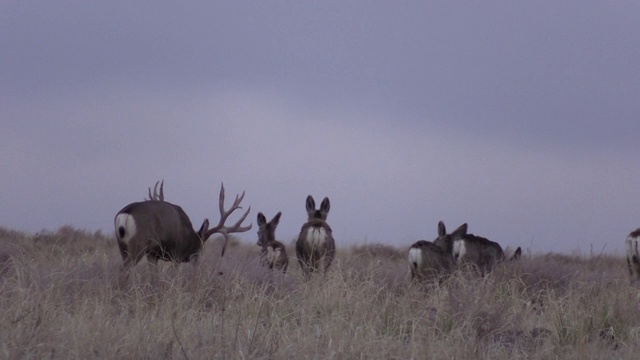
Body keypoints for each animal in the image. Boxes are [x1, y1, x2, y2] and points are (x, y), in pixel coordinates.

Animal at [115, 183, 250, 270]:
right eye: (202, 248)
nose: (198, 262)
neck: (189, 236)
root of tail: (125, 214)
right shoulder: (177, 254)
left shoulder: (153, 253)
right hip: (138, 243)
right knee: (125, 267)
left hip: (122, 245)